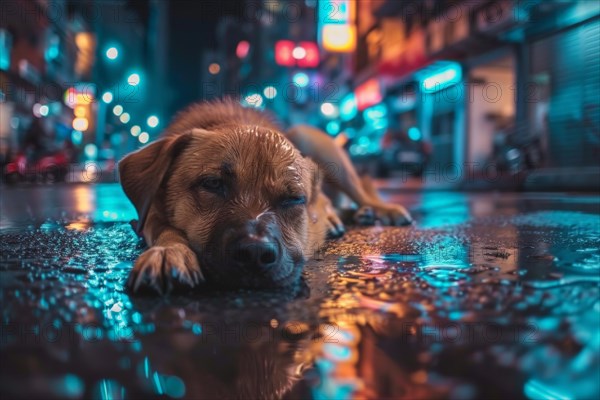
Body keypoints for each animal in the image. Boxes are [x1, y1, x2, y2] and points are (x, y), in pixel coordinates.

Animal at [120, 100, 412, 294]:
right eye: (213, 183)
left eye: (294, 198)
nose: (255, 254)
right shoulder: (150, 212)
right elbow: (162, 227)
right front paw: (170, 250)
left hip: (315, 142)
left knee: (360, 194)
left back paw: (379, 210)